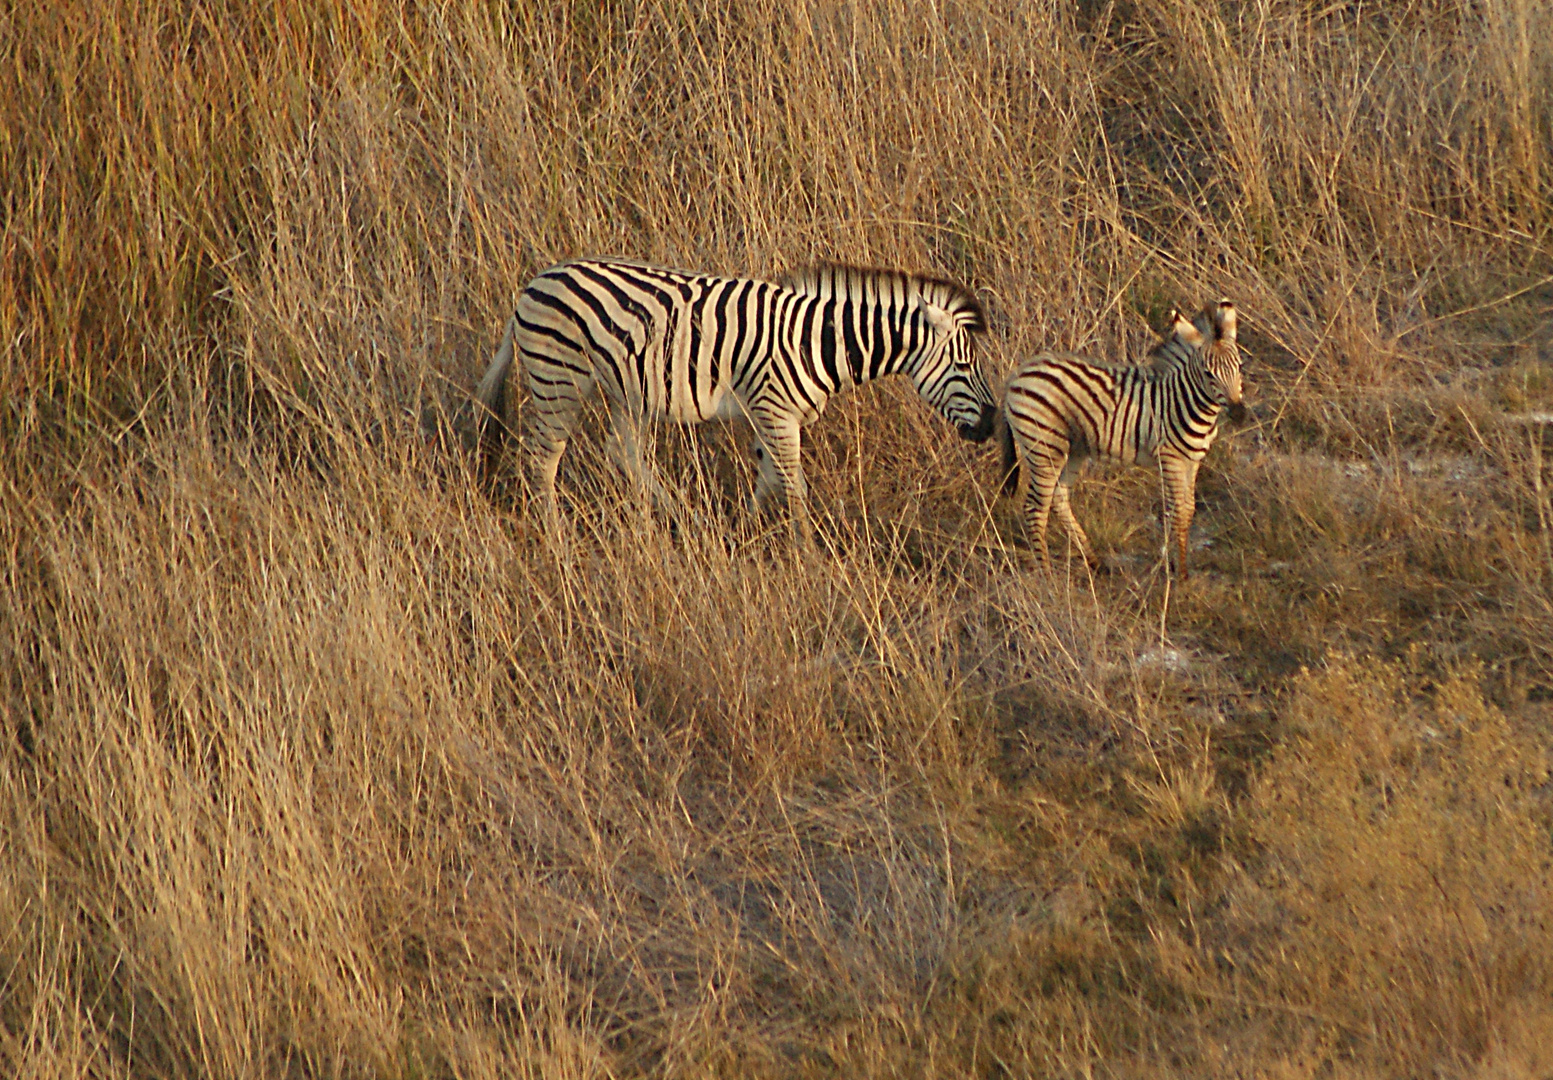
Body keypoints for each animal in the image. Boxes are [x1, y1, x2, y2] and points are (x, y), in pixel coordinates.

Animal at [472, 259, 1000, 537]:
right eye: (964, 368)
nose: (993, 425)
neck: (822, 342)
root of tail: (533, 285)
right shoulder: (774, 410)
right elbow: (795, 488)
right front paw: (809, 555)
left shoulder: (774, 417)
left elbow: (769, 480)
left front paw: (740, 534)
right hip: (559, 381)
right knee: (542, 460)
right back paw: (556, 538)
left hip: (628, 391)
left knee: (623, 452)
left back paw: (680, 519)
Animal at [1000, 299, 1242, 578]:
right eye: (1208, 373)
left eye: (1239, 367)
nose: (1240, 413)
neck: (1185, 401)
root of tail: (1018, 373)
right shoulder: (1170, 458)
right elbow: (1177, 511)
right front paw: (1178, 573)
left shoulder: (1193, 460)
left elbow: (1188, 508)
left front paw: (1175, 565)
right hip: (1044, 443)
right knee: (1035, 507)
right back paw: (1047, 574)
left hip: (1073, 448)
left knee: (1058, 497)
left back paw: (1094, 562)